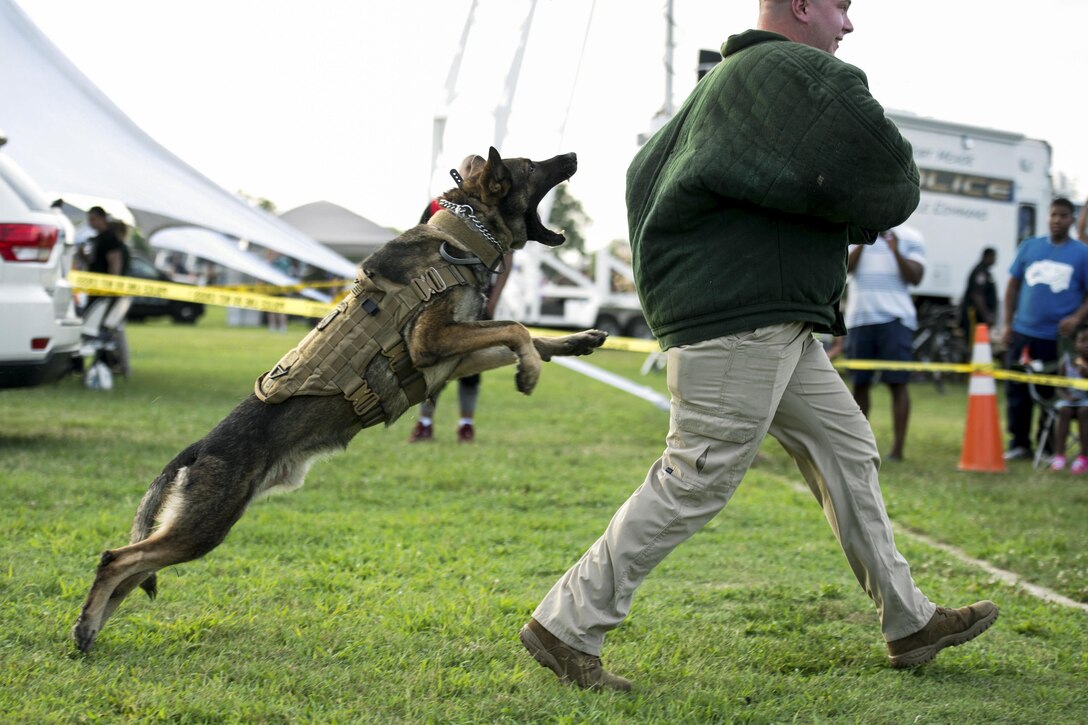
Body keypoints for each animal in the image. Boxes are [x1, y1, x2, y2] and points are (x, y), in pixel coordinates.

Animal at [75, 146, 604, 648]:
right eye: (532, 164)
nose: (575, 156)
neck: (457, 239)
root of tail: (196, 449)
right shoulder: (433, 342)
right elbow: (516, 327)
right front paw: (530, 371)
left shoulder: (454, 360)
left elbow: (526, 335)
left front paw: (574, 342)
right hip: (202, 529)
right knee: (115, 559)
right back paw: (85, 629)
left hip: (195, 530)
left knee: (131, 572)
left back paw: (90, 626)